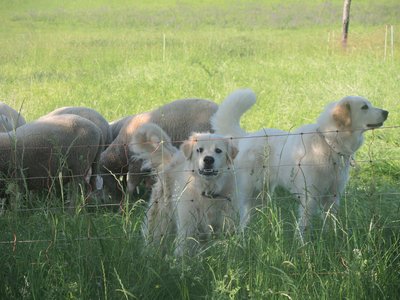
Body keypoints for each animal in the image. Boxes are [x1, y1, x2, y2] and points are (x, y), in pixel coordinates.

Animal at [130, 123, 238, 254]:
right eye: (199, 150)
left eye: (218, 150)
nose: (208, 159)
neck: (207, 189)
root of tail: (172, 158)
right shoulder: (188, 224)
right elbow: (183, 248)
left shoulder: (225, 223)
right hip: (161, 217)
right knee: (154, 235)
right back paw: (149, 253)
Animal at [211, 88, 390, 238]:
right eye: (364, 107)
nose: (386, 112)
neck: (329, 142)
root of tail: (247, 137)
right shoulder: (309, 196)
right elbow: (304, 224)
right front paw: (303, 246)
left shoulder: (333, 195)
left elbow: (331, 220)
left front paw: (332, 237)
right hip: (251, 191)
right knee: (244, 216)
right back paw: (243, 236)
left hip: (263, 193)